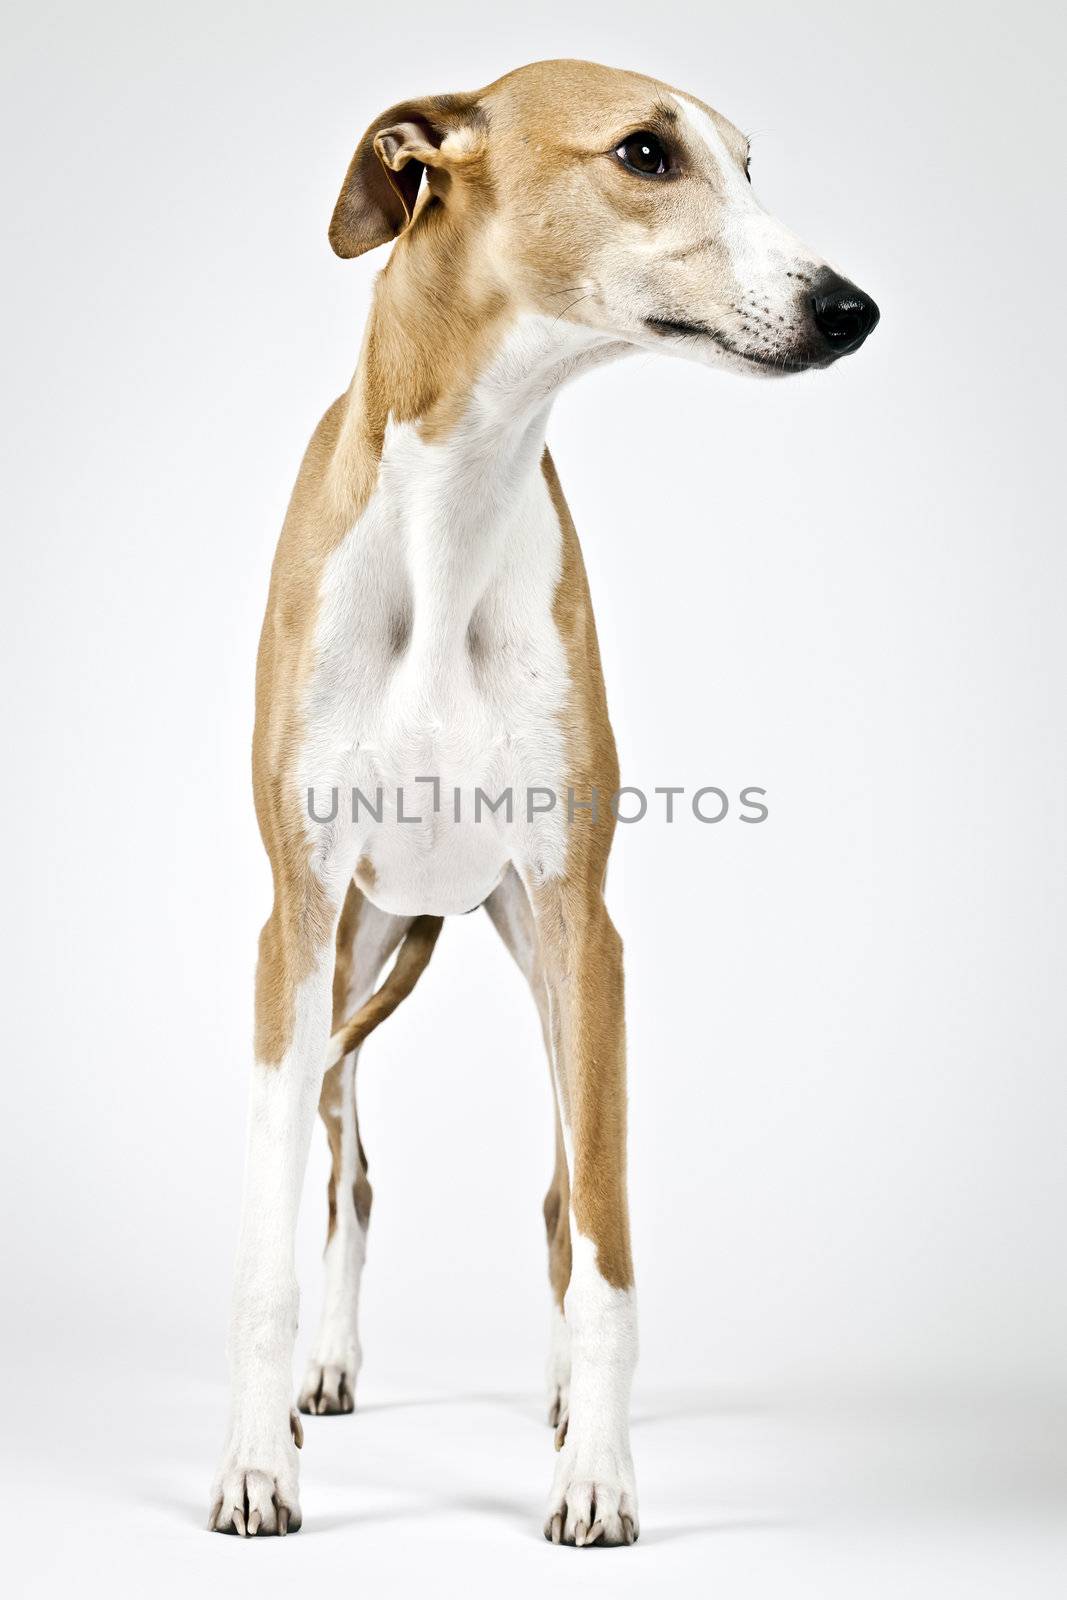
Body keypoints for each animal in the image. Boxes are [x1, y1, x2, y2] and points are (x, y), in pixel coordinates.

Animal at [206, 62, 876, 1548]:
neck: (452, 520)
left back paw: (568, 1405)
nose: (848, 307)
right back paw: (324, 1377)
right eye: (644, 152)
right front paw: (256, 1461)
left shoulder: (582, 923)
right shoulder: (294, 922)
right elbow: (267, 1246)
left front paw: (595, 1475)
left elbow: (602, 1246)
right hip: (352, 955)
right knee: (350, 1170)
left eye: (748, 163)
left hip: (528, 953)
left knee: (565, 1197)